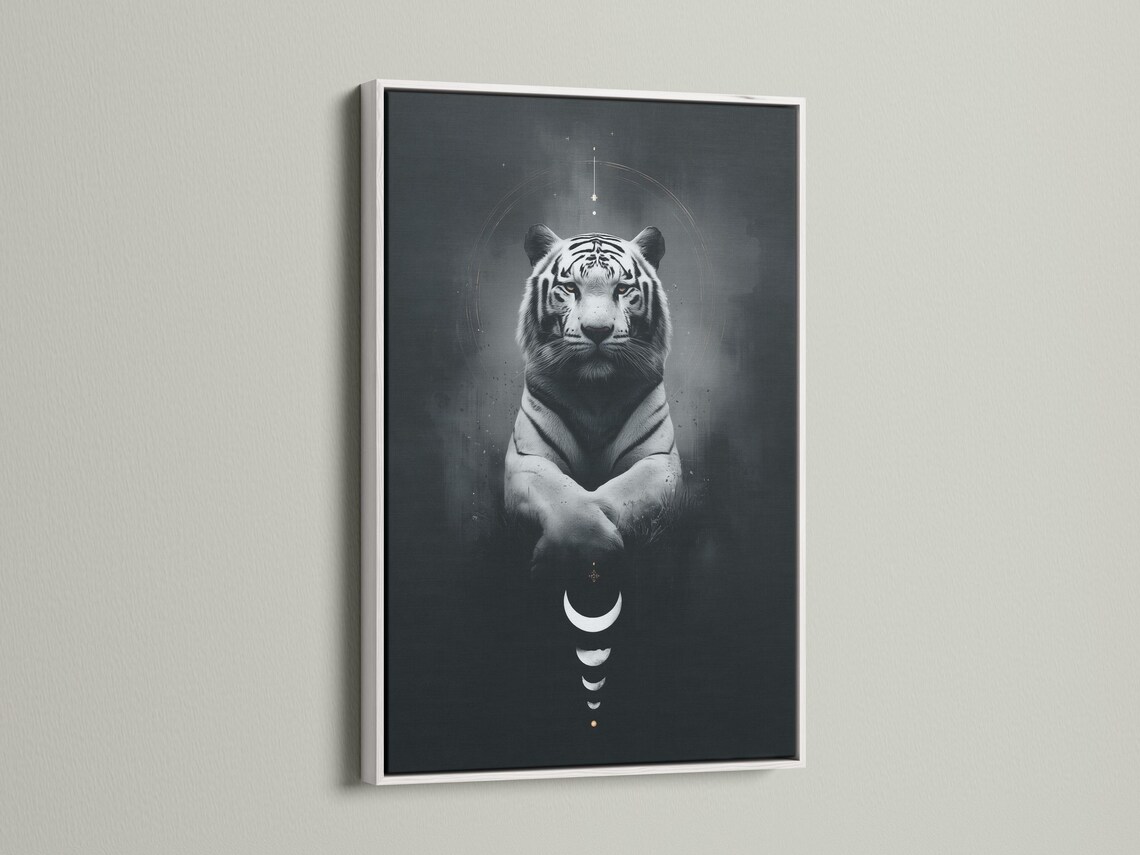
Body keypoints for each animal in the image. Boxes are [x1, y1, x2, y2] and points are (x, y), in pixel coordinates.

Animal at [504, 224, 682, 572]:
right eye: (570, 287)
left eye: (623, 288)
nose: (597, 331)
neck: (595, 394)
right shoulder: (526, 459)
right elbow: (566, 497)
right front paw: (579, 546)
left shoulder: (660, 460)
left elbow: (614, 493)